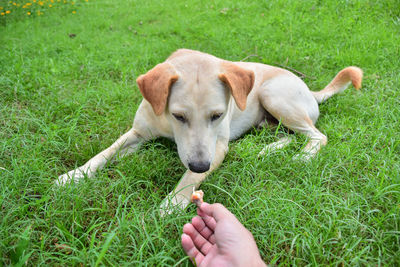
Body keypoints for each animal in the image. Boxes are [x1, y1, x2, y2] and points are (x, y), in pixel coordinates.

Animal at [57, 49, 362, 215]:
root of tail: (309, 89)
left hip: (272, 94)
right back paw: (268, 150)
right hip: (270, 117)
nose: (201, 164)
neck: (168, 125)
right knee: (286, 134)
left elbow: (189, 178)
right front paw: (74, 176)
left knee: (317, 136)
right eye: (179, 115)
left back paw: (304, 156)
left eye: (217, 115)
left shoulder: (216, 148)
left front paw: (172, 204)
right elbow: (105, 153)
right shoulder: (137, 133)